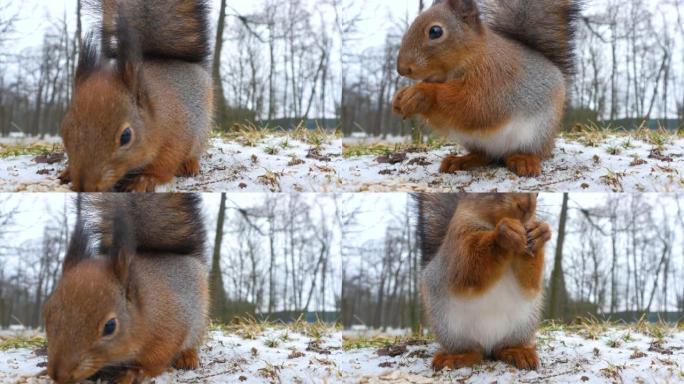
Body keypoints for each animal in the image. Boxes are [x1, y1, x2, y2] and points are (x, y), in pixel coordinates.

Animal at [42, 195, 208, 384]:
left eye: (110, 326)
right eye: (46, 313)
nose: (58, 374)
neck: (145, 311)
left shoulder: (170, 329)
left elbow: (157, 361)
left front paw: (133, 373)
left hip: (199, 320)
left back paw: (188, 357)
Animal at [59, 0, 214, 192]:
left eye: (126, 136)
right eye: (64, 130)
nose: (84, 186)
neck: (155, 116)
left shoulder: (178, 136)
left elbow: (165, 164)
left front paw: (145, 179)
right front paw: (67, 172)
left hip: (202, 128)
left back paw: (190, 164)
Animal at [392, 0, 580, 177]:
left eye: (435, 31)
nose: (402, 69)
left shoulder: (495, 80)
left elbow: (473, 106)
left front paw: (422, 93)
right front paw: (399, 98)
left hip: (537, 133)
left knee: (535, 152)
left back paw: (524, 160)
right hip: (472, 141)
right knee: (484, 156)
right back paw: (461, 161)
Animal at [414, 194, 552, 370]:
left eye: (537, 194)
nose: (527, 206)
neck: (491, 224)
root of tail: (488, 345)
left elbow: (530, 284)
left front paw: (540, 232)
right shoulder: (458, 239)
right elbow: (468, 267)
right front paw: (505, 232)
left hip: (522, 327)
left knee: (502, 348)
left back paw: (518, 352)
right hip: (450, 329)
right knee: (473, 351)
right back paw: (456, 357)